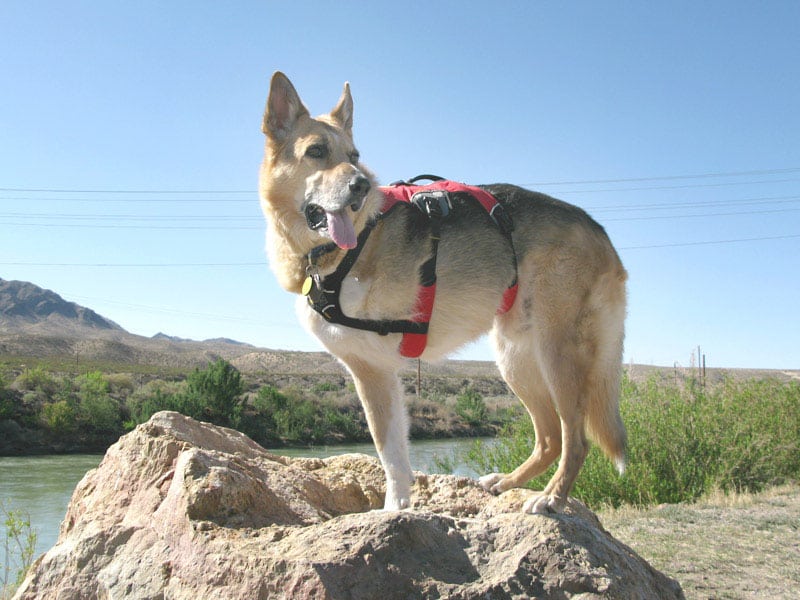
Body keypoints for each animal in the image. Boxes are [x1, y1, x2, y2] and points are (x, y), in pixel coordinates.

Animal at [260, 74, 628, 516]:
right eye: (315, 151)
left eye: (354, 155)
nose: (361, 186)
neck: (344, 249)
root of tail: (598, 230)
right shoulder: (380, 372)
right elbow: (396, 451)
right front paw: (402, 503)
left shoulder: (370, 370)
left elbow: (387, 451)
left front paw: (393, 508)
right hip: (516, 358)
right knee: (549, 439)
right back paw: (507, 482)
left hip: (557, 355)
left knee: (576, 438)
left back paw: (551, 498)